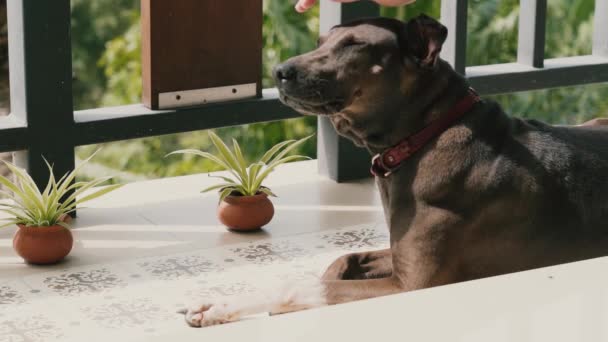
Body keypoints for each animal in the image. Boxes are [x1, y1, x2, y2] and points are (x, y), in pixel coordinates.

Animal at [183, 15, 608, 326]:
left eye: (354, 45)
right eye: (320, 41)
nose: (278, 71)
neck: (425, 135)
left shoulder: (412, 284)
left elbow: (298, 286)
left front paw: (236, 306)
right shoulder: (399, 257)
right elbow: (341, 261)